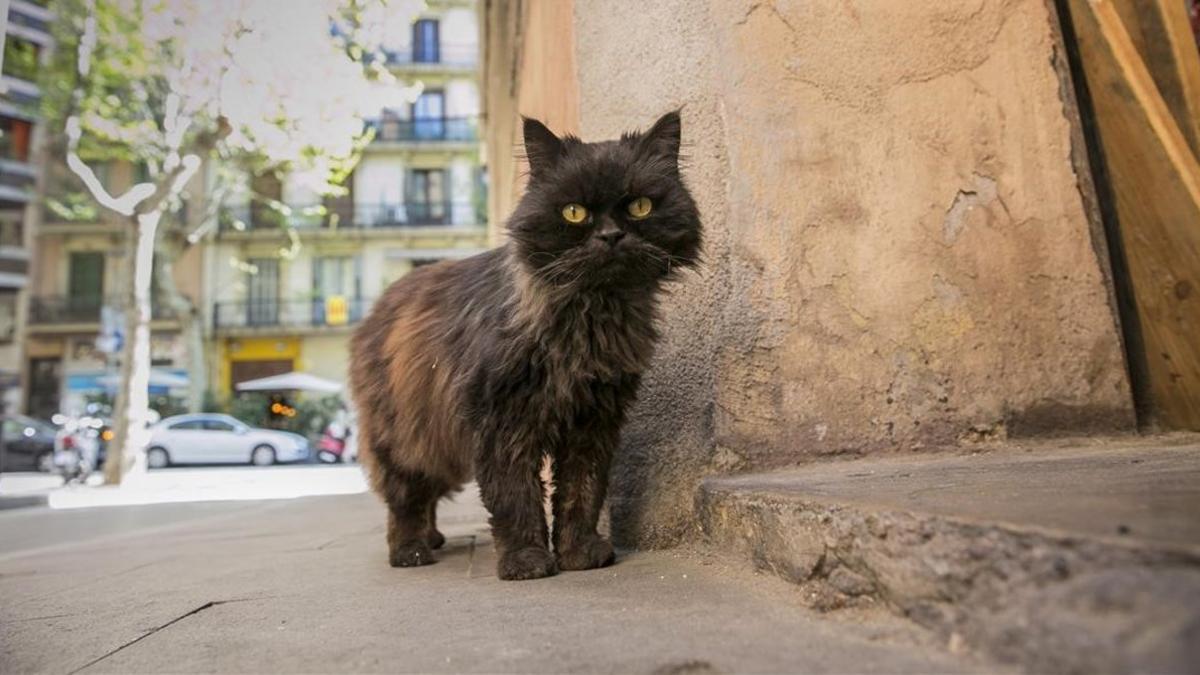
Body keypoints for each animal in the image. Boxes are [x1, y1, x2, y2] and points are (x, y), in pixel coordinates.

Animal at [348, 110, 700, 578]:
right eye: (574, 212)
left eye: (640, 206)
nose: (610, 236)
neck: (591, 313)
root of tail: (375, 310)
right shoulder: (501, 421)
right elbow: (515, 498)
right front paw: (526, 560)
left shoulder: (593, 421)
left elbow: (581, 493)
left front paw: (578, 553)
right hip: (404, 434)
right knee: (405, 497)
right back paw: (411, 550)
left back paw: (433, 537)